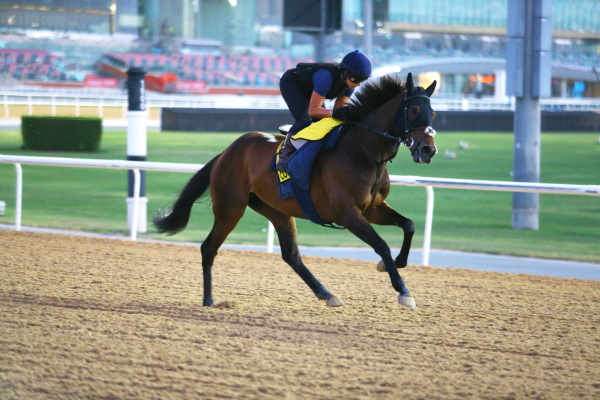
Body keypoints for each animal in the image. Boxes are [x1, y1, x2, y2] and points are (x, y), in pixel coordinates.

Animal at [152, 72, 438, 310]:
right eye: (414, 109)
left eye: (433, 114)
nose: (428, 150)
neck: (361, 152)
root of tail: (227, 151)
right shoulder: (347, 213)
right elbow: (381, 244)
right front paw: (402, 290)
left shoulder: (372, 209)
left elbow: (409, 225)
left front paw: (397, 266)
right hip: (230, 208)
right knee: (208, 248)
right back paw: (209, 299)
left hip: (277, 210)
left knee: (291, 255)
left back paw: (326, 293)